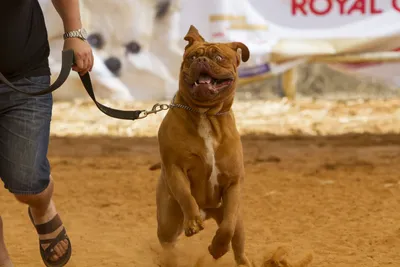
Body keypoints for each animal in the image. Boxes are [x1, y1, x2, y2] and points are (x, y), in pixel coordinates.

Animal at [155, 24, 250, 266]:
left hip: (239, 222)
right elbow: (186, 196)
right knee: (167, 241)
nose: (202, 61)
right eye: (191, 57)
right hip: (168, 218)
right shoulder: (176, 168)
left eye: (218, 57)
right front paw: (192, 223)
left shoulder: (233, 182)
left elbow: (227, 228)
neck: (206, 115)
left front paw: (218, 248)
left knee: (237, 242)